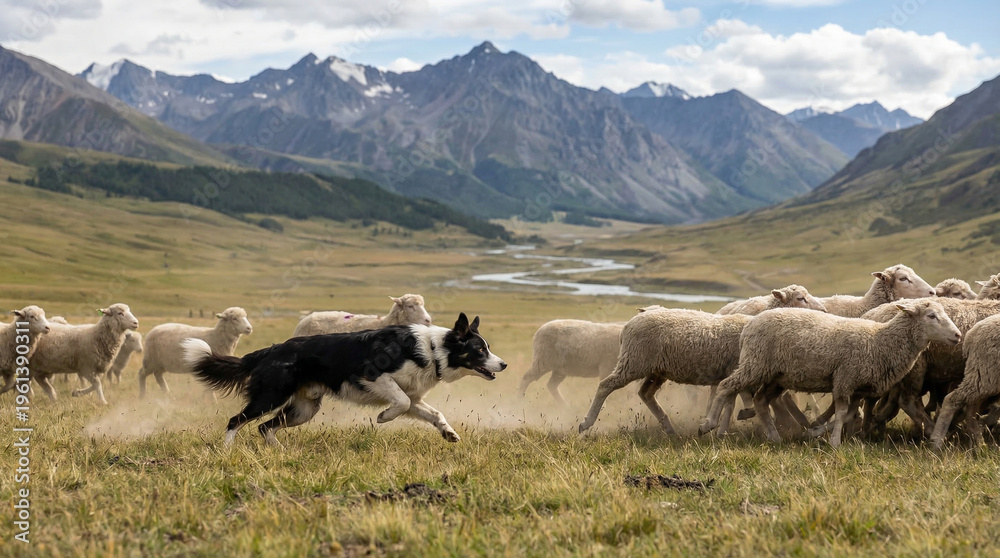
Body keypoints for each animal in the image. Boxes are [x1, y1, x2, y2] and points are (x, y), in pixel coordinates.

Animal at [577, 309, 754, 435]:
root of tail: (628, 325)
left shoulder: (731, 373)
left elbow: (730, 403)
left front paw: (722, 433)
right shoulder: (735, 372)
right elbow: (729, 402)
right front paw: (713, 428)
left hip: (656, 370)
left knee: (645, 393)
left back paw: (668, 428)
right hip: (634, 362)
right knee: (605, 385)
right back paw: (587, 422)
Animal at [700, 300, 962, 447]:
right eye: (931, 316)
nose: (958, 335)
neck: (880, 340)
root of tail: (749, 325)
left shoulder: (857, 387)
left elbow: (849, 414)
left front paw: (815, 432)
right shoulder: (845, 378)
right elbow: (844, 411)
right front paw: (835, 442)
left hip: (776, 375)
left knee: (761, 401)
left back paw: (774, 437)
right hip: (756, 364)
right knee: (726, 386)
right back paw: (708, 425)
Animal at [930, 314, 1000, 449]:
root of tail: (971, 334)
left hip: (983, 378)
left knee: (971, 408)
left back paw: (979, 442)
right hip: (984, 375)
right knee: (952, 400)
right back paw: (936, 442)